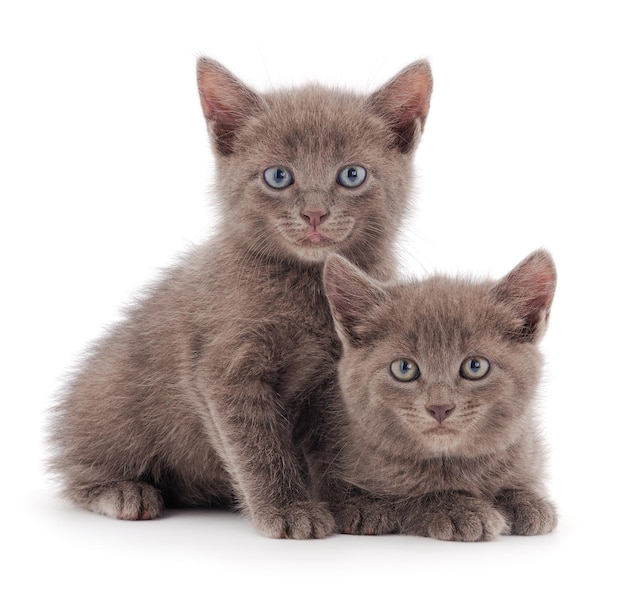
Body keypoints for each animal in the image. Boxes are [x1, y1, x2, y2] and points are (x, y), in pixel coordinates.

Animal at [48, 58, 432, 540]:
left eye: (352, 175)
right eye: (278, 176)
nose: (314, 213)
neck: (307, 284)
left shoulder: (339, 379)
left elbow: (336, 443)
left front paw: (353, 502)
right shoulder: (225, 370)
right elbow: (258, 445)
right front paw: (288, 510)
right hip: (113, 396)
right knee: (77, 466)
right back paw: (122, 491)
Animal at [322, 251, 556, 540]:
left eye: (475, 366)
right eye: (404, 368)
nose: (440, 407)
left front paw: (526, 500)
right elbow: (411, 494)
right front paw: (459, 508)